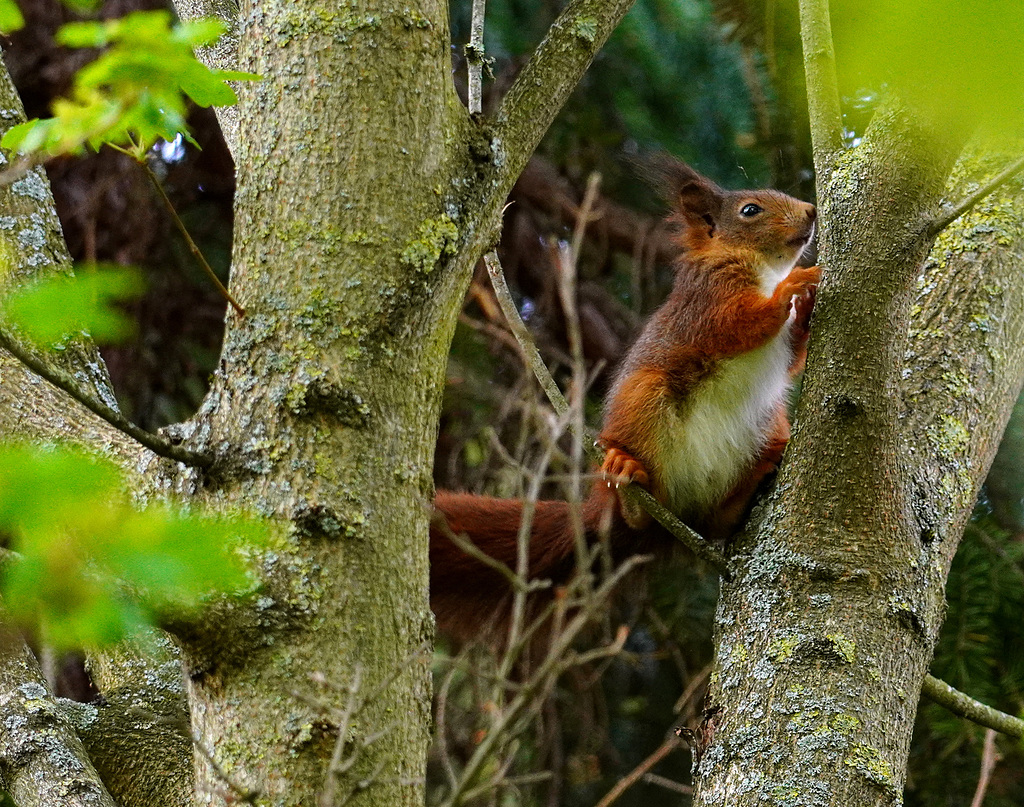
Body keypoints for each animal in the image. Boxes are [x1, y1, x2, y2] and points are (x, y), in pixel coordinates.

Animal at [430, 160, 815, 643]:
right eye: (750, 210)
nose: (812, 211)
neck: (761, 270)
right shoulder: (706, 301)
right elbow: (737, 324)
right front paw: (795, 287)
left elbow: (791, 359)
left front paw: (806, 307)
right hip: (644, 398)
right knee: (638, 512)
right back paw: (627, 479)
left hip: (767, 422)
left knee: (714, 521)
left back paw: (750, 482)